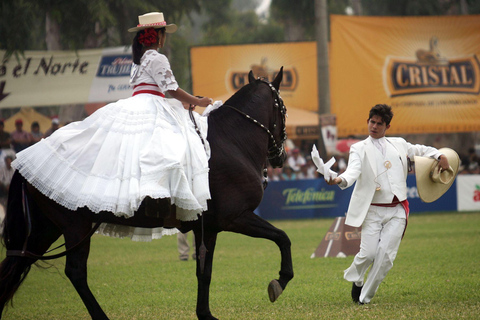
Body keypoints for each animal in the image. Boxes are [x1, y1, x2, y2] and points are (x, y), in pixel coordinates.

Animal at [0, 67, 292, 318]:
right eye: (284, 110)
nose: (280, 157)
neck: (232, 140)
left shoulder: (207, 227)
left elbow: (204, 271)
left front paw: (205, 314)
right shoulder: (235, 218)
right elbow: (282, 237)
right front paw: (280, 280)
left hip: (45, 229)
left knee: (14, 267)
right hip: (75, 226)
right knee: (75, 272)